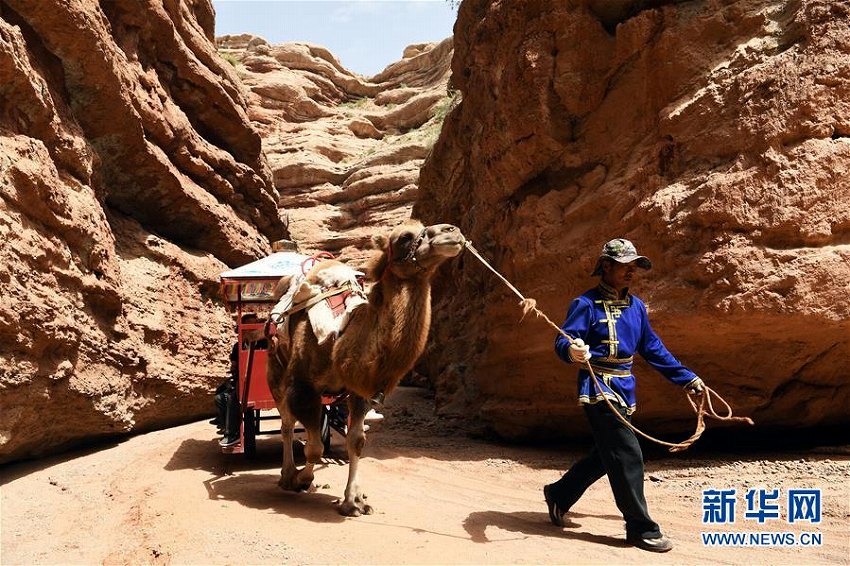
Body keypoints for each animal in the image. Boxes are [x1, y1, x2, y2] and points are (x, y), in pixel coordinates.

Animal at [264, 222, 464, 520]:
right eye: (405, 237)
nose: (452, 231)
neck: (339, 341)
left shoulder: (359, 391)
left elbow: (355, 441)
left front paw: (354, 502)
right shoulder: (302, 387)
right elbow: (314, 448)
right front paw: (302, 479)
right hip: (275, 373)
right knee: (286, 425)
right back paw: (287, 476)